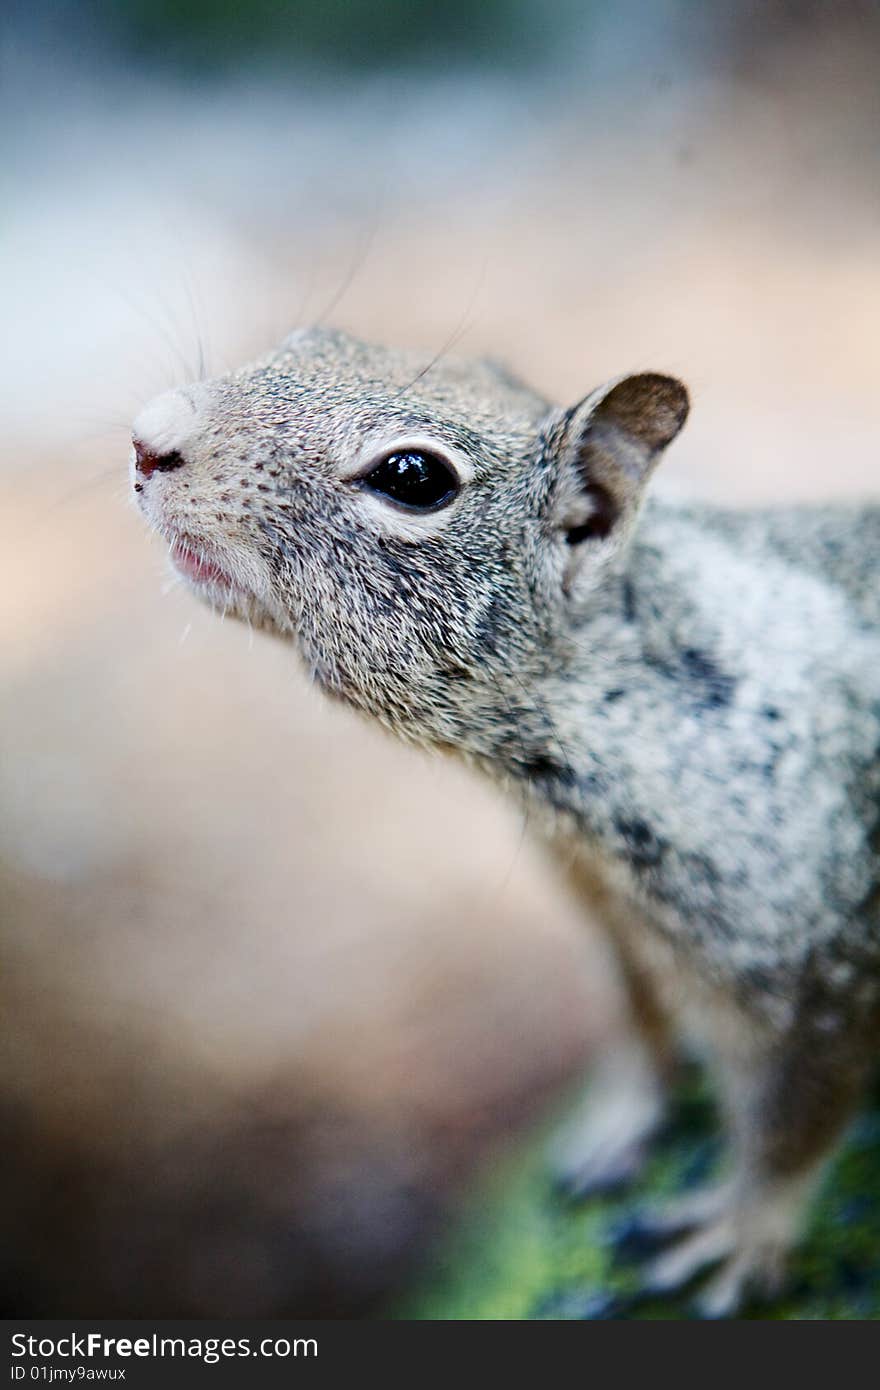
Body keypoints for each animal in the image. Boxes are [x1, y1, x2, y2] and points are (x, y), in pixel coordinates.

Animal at [130, 322, 878, 1312]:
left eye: (414, 478)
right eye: (311, 336)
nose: (148, 437)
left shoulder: (812, 957)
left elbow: (793, 1119)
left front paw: (741, 1230)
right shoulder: (609, 916)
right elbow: (638, 1020)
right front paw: (619, 1116)